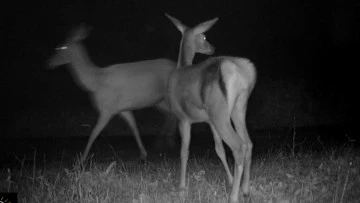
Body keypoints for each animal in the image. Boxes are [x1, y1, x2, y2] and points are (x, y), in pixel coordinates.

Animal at [47, 25, 177, 162]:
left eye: (62, 47)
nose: (48, 63)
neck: (95, 82)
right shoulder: (122, 108)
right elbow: (134, 127)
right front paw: (143, 153)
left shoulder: (107, 109)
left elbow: (94, 133)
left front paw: (82, 158)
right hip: (159, 100)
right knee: (170, 114)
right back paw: (165, 142)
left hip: (168, 96)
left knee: (174, 114)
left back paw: (166, 142)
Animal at [166, 13, 256, 202]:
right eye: (205, 37)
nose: (212, 48)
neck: (181, 66)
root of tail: (238, 70)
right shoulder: (209, 121)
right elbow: (219, 149)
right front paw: (230, 180)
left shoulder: (183, 117)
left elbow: (184, 151)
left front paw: (182, 188)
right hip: (237, 109)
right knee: (248, 143)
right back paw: (245, 189)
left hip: (219, 112)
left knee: (239, 146)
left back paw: (233, 196)